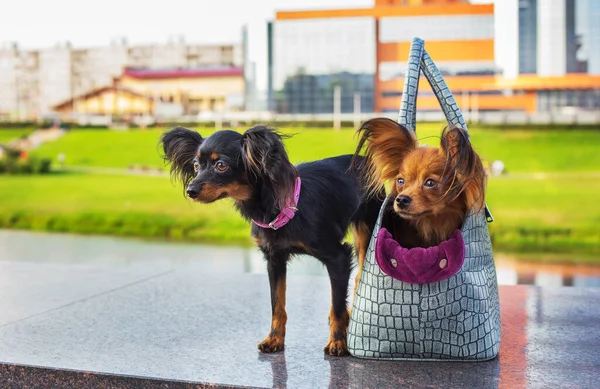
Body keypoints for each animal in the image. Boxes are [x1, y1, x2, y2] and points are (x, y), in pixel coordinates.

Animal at [162, 125, 382, 354]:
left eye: (221, 165)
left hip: (368, 229)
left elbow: (337, 305)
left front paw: (338, 342)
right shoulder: (274, 259)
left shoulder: (338, 257)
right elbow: (277, 305)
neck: (282, 205)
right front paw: (274, 339)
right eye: (196, 166)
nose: (191, 191)